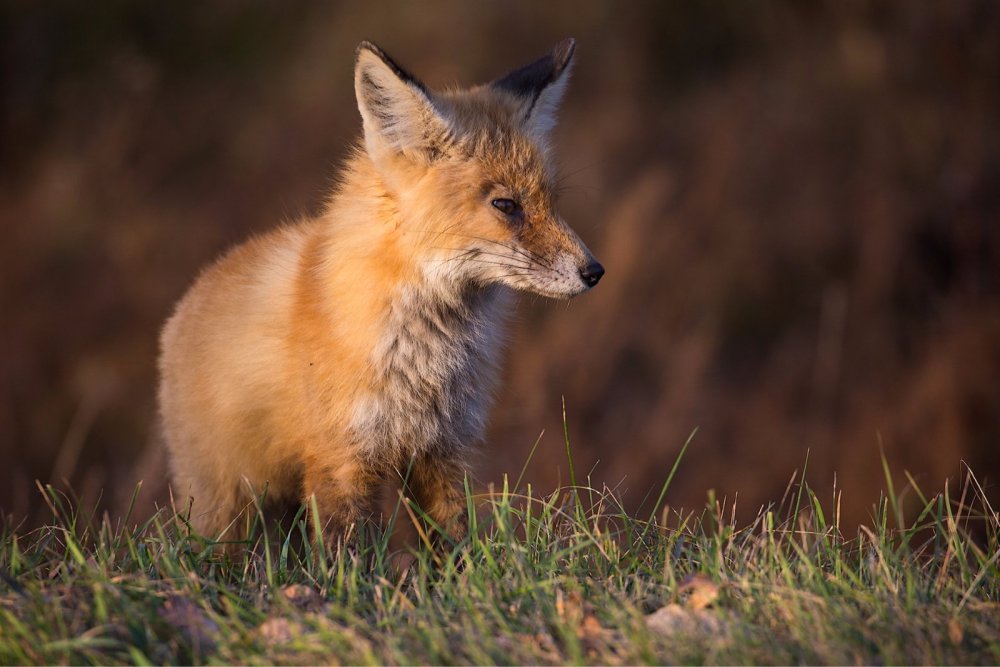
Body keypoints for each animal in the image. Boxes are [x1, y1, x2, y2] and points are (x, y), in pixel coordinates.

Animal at [158, 37, 600, 548]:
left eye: (551, 202)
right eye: (506, 206)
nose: (594, 271)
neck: (423, 356)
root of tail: (190, 298)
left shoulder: (443, 451)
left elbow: (454, 545)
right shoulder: (342, 457)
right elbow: (351, 555)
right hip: (228, 507)